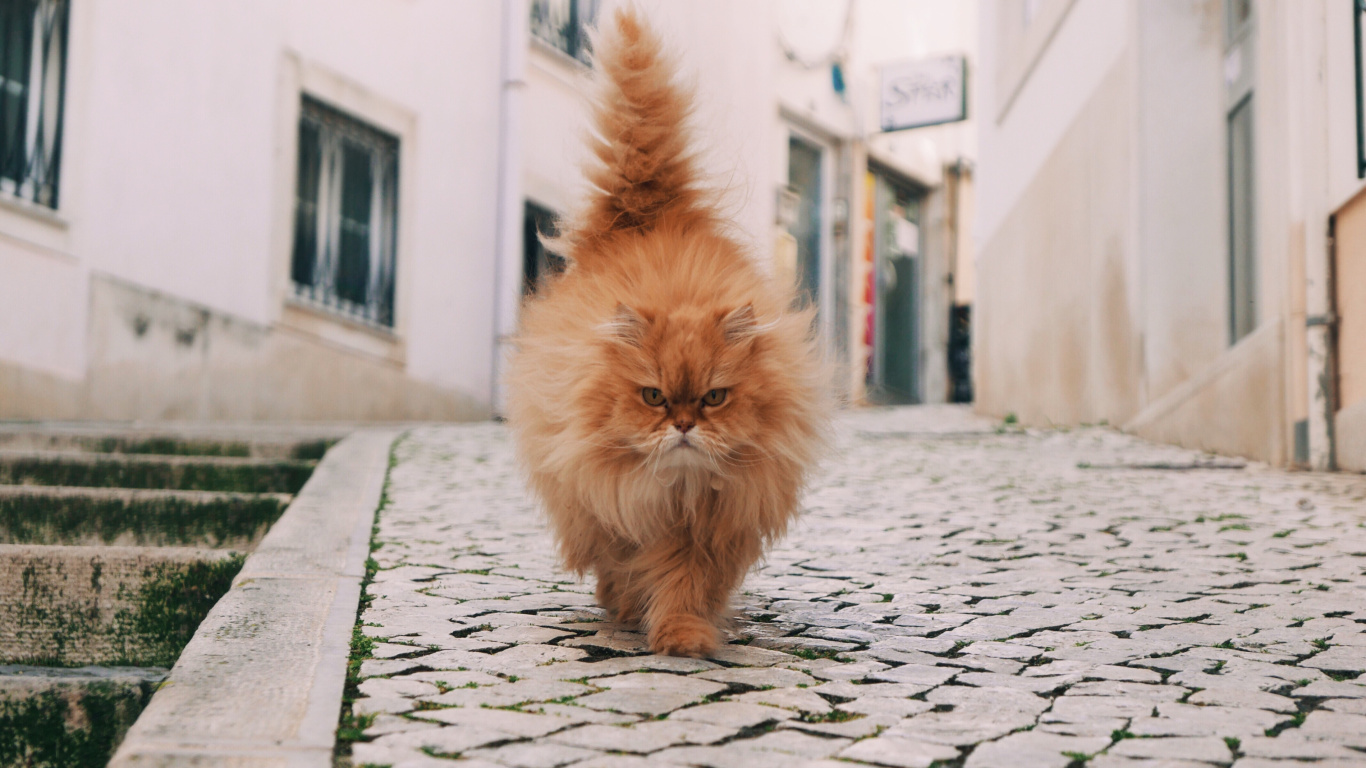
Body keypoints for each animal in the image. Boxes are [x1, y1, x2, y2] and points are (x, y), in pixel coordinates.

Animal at [508, 5, 825, 655]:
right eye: (653, 396)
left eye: (714, 397)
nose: (682, 424)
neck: (677, 492)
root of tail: (646, 217)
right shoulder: (613, 502)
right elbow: (625, 565)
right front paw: (632, 612)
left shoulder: (711, 525)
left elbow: (686, 582)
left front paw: (683, 636)